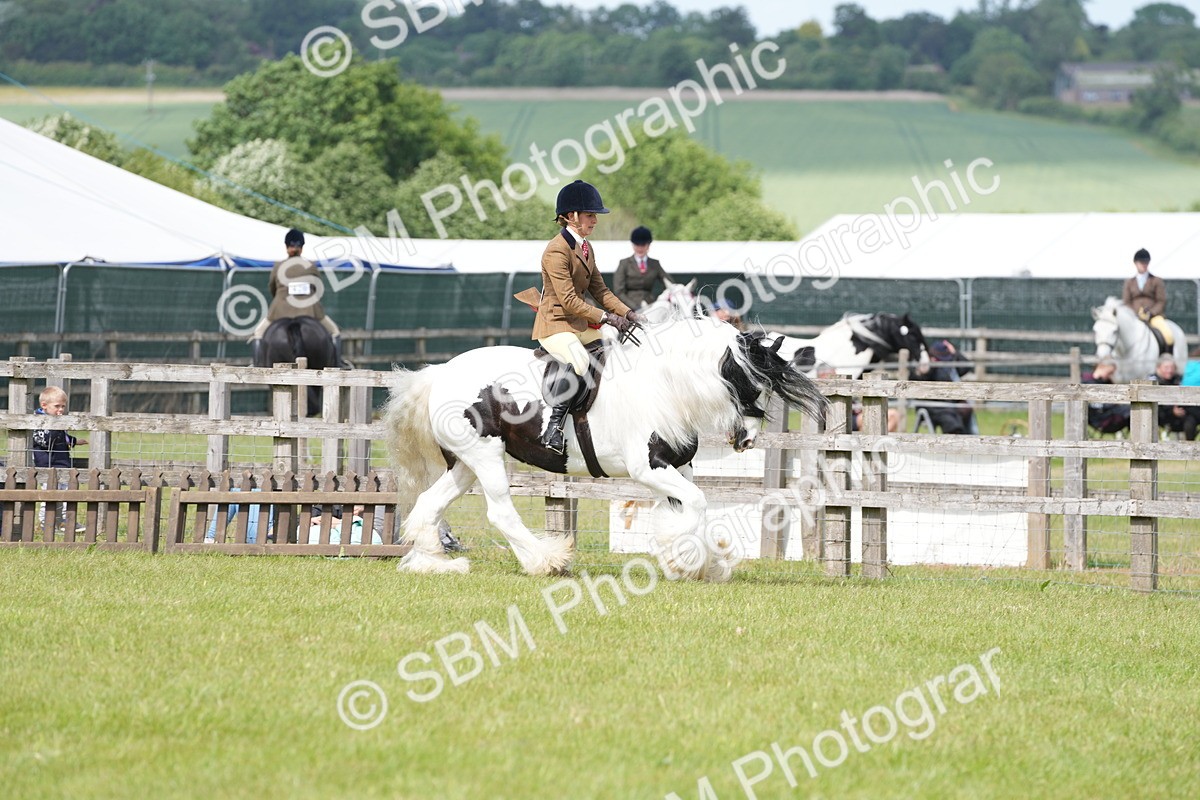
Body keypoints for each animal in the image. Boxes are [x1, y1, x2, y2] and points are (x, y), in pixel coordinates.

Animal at [383, 315, 827, 581]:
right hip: (485, 457)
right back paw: (546, 560)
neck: (664, 386)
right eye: (751, 383)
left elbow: (687, 508)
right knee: (500, 512)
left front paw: (690, 561)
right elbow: (697, 504)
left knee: (429, 504)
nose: (746, 440)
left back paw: (434, 563)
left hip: (464, 464)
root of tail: (440, 373)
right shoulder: (649, 468)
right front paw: (684, 561)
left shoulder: (677, 468)